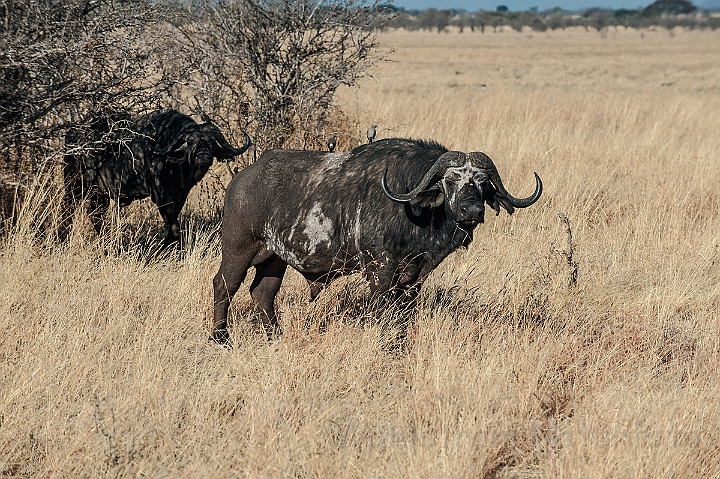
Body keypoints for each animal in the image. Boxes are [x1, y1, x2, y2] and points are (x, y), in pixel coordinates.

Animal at [62, 110, 253, 246]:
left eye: (212, 142)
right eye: (190, 141)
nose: (203, 156)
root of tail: (72, 134)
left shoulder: (180, 195)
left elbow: (171, 224)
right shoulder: (161, 195)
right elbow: (173, 225)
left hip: (98, 193)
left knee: (95, 215)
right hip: (75, 184)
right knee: (69, 209)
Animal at [211, 137, 544, 344]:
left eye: (482, 182)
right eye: (450, 181)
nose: (472, 211)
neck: (412, 206)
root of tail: (240, 179)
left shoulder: (413, 277)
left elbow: (404, 313)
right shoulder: (380, 270)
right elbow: (382, 310)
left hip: (274, 258)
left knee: (263, 293)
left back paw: (274, 336)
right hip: (238, 249)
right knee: (224, 285)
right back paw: (220, 337)